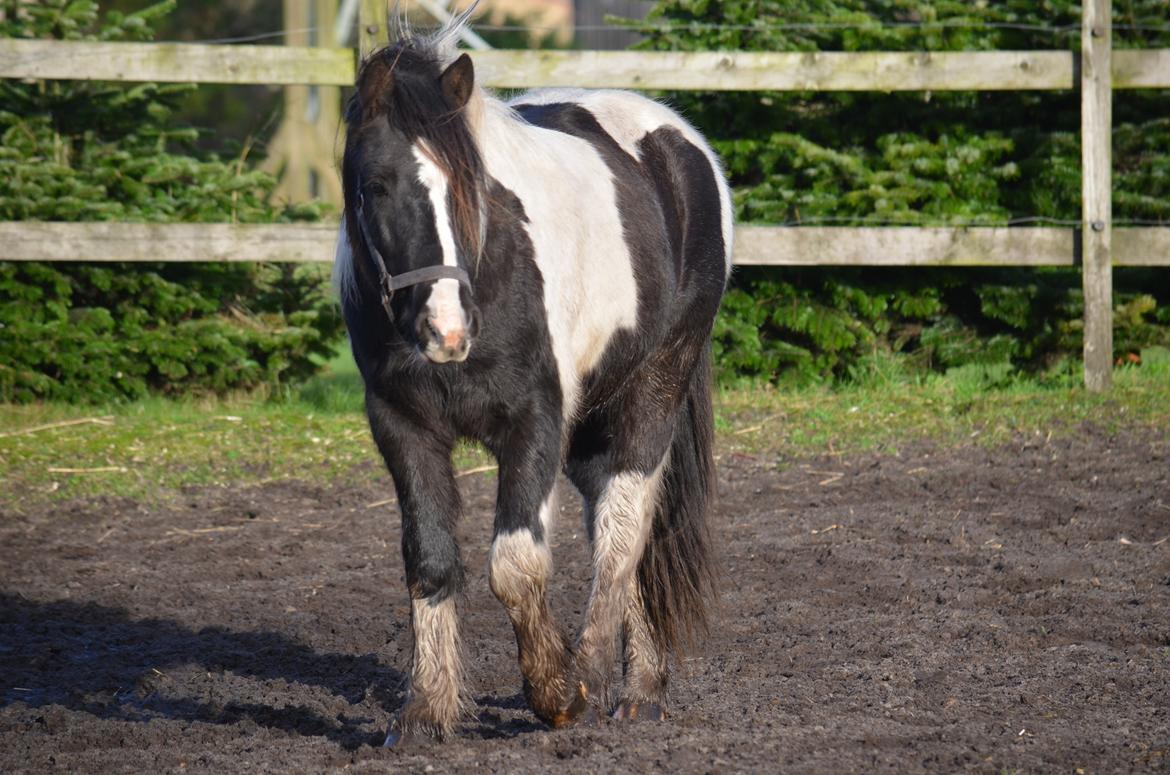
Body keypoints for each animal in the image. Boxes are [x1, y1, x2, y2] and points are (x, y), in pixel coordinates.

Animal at [332, 12, 730, 744]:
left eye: (472, 186)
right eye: (373, 186)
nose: (447, 330)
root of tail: (678, 141)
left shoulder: (534, 420)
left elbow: (516, 565)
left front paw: (558, 692)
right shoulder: (401, 425)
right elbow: (430, 559)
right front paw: (425, 709)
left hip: (654, 388)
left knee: (624, 528)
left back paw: (612, 683)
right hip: (589, 432)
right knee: (617, 524)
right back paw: (639, 685)